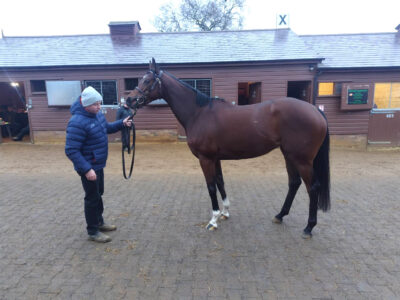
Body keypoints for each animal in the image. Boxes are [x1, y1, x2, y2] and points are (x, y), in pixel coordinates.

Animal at [126, 57, 330, 238]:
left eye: (147, 80)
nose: (128, 101)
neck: (199, 113)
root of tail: (315, 110)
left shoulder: (206, 159)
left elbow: (210, 187)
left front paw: (213, 220)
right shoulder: (215, 158)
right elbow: (220, 182)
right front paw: (225, 213)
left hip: (302, 160)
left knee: (312, 187)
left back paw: (308, 228)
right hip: (289, 155)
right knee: (294, 183)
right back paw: (280, 216)